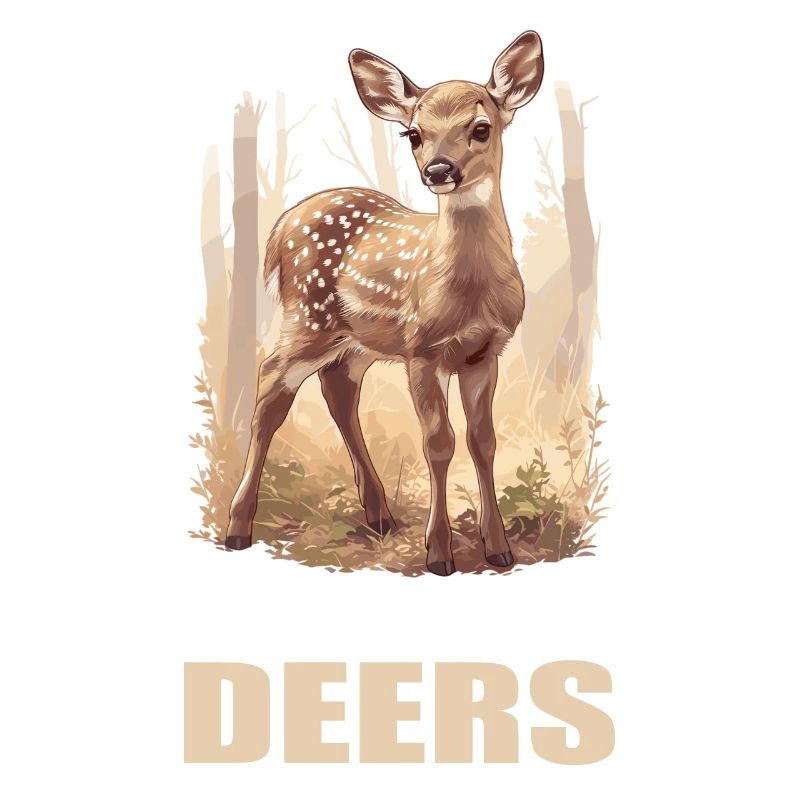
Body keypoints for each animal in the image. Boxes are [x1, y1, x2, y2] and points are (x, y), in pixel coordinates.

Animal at [225, 31, 545, 576]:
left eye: (481, 128)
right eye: (413, 134)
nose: (439, 170)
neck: (469, 294)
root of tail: (281, 228)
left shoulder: (485, 352)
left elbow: (483, 442)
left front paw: (499, 548)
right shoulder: (423, 349)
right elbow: (439, 444)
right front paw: (439, 554)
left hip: (357, 341)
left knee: (337, 390)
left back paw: (380, 515)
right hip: (307, 317)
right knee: (270, 387)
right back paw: (237, 527)